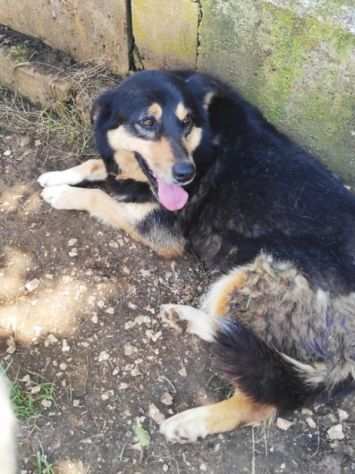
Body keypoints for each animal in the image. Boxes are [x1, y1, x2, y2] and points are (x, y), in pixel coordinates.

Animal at [37, 71, 355, 444]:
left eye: (186, 122)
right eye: (147, 122)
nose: (185, 173)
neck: (206, 136)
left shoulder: (160, 231)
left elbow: (99, 199)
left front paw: (61, 193)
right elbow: (95, 162)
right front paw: (57, 175)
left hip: (252, 273)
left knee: (260, 397)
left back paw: (190, 422)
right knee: (235, 337)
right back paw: (184, 318)